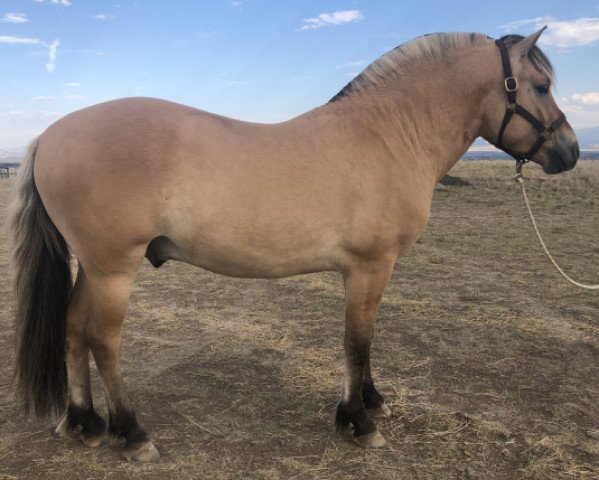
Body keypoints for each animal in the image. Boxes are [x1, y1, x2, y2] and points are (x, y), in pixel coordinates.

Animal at [9, 29, 580, 462]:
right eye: (540, 85)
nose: (571, 152)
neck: (387, 135)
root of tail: (48, 136)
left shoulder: (369, 272)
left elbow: (365, 341)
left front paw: (371, 402)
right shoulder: (370, 267)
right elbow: (356, 342)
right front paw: (357, 422)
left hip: (93, 267)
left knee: (72, 328)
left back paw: (83, 422)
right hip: (113, 270)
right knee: (103, 341)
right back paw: (131, 434)